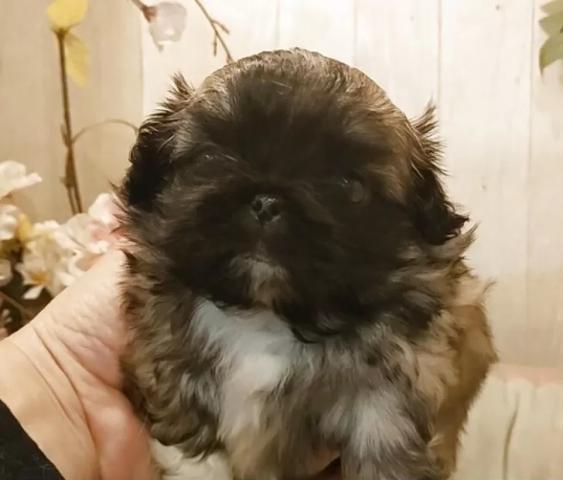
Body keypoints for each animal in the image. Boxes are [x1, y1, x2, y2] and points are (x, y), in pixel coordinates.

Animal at [119, 48, 496, 480]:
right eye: (209, 158)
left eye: (351, 187)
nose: (267, 201)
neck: (268, 314)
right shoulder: (167, 363)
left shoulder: (389, 391)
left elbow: (388, 446)